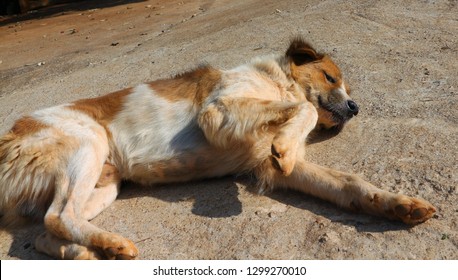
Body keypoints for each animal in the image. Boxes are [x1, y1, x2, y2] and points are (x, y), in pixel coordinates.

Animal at [0, 38, 436, 260]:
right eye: (330, 77)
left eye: (347, 88)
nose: (355, 107)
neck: (275, 81)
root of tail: (10, 136)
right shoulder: (219, 109)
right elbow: (306, 109)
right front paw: (285, 141)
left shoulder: (272, 165)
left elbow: (350, 183)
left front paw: (399, 204)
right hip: (89, 144)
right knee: (58, 216)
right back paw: (113, 244)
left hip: (106, 183)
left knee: (45, 231)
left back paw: (92, 251)